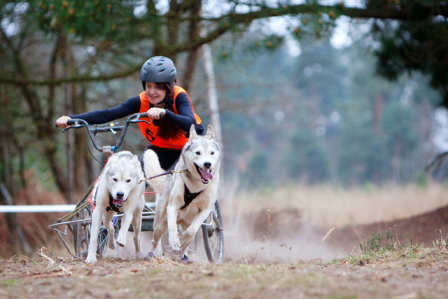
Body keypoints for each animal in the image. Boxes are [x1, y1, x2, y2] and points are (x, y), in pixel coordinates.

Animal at [149, 125, 220, 262]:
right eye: (198, 153)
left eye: (212, 153)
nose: (207, 164)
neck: (196, 186)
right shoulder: (172, 206)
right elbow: (172, 227)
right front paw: (175, 241)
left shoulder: (206, 210)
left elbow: (191, 231)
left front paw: (181, 241)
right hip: (160, 225)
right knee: (155, 241)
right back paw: (152, 254)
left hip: (189, 222)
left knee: (189, 237)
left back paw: (183, 254)